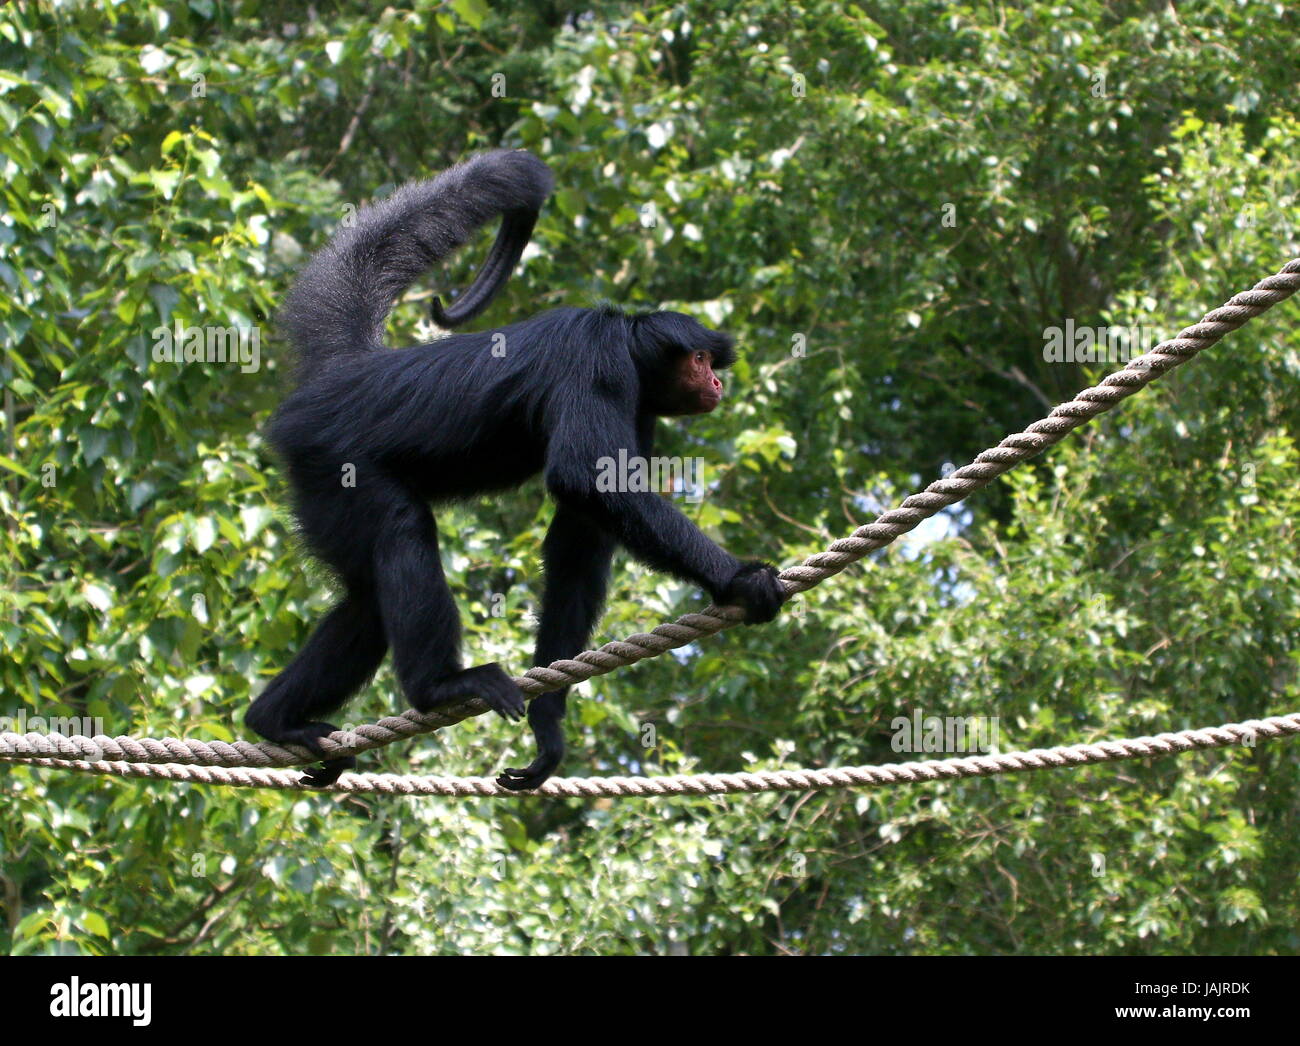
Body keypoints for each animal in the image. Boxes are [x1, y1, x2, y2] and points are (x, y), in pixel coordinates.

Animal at [248, 146, 785, 784]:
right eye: (700, 358)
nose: (717, 381)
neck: (624, 341)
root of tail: (348, 373)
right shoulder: (597, 359)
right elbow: (586, 478)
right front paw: (740, 579)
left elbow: (579, 537)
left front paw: (547, 729)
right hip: (334, 462)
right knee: (403, 530)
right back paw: (439, 687)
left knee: (366, 604)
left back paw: (275, 721)